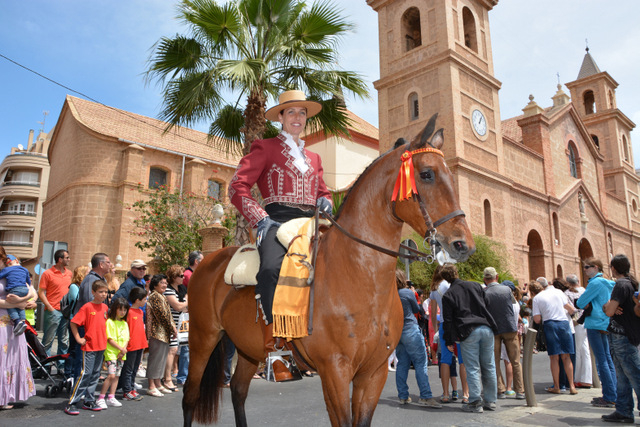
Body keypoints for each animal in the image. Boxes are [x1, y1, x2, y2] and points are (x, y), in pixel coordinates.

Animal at [182, 115, 472, 426]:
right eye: (427, 174)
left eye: (451, 176)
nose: (463, 244)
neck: (360, 277)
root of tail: (210, 261)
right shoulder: (335, 370)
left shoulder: (374, 372)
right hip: (202, 338)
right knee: (190, 394)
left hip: (248, 348)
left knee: (237, 390)